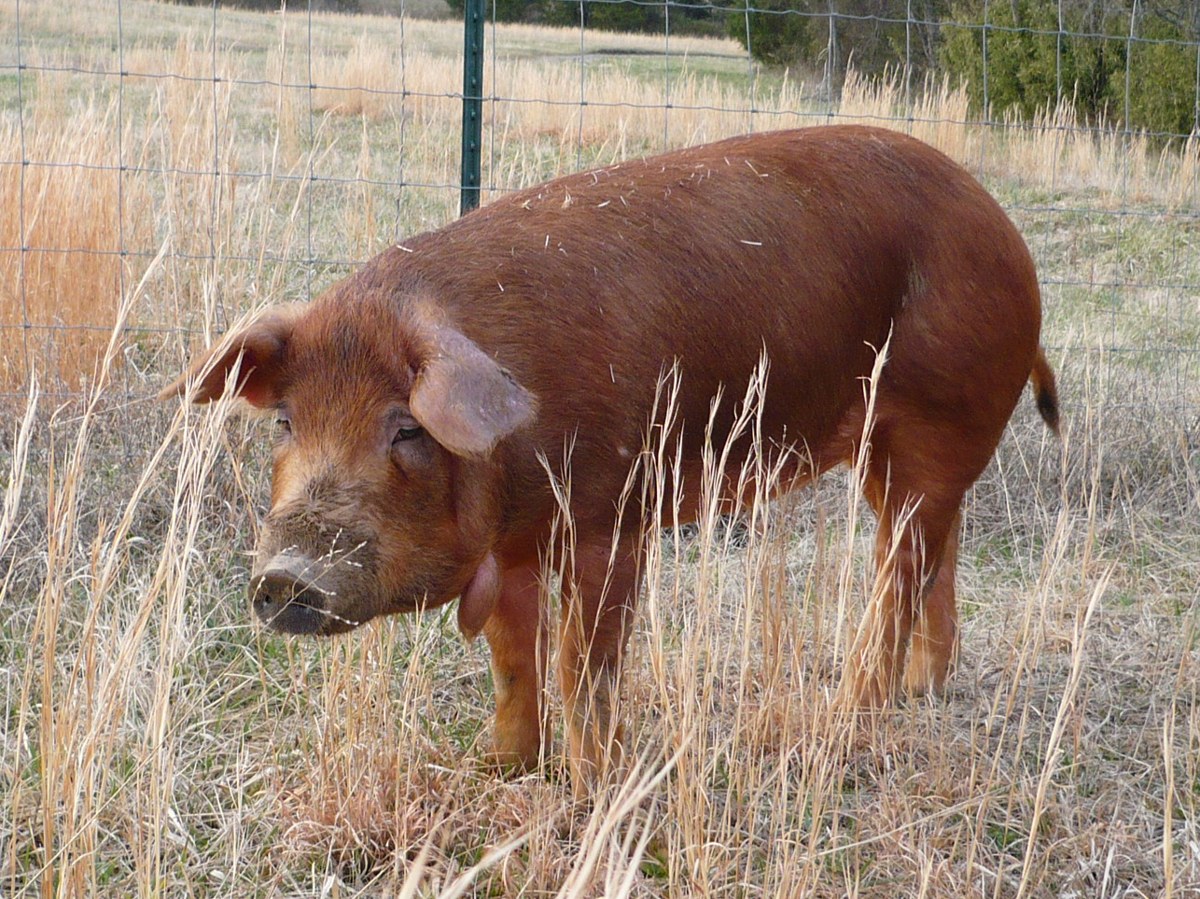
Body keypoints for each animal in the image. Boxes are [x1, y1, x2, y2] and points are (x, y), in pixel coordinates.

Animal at [163, 125, 1059, 788]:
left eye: (406, 428)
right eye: (285, 420)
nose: (286, 575)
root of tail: (1008, 232)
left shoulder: (611, 516)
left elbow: (580, 662)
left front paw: (595, 783)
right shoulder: (516, 544)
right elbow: (512, 659)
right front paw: (500, 764)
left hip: (939, 413)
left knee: (899, 568)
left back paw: (850, 718)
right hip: (887, 447)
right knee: (938, 548)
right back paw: (923, 688)